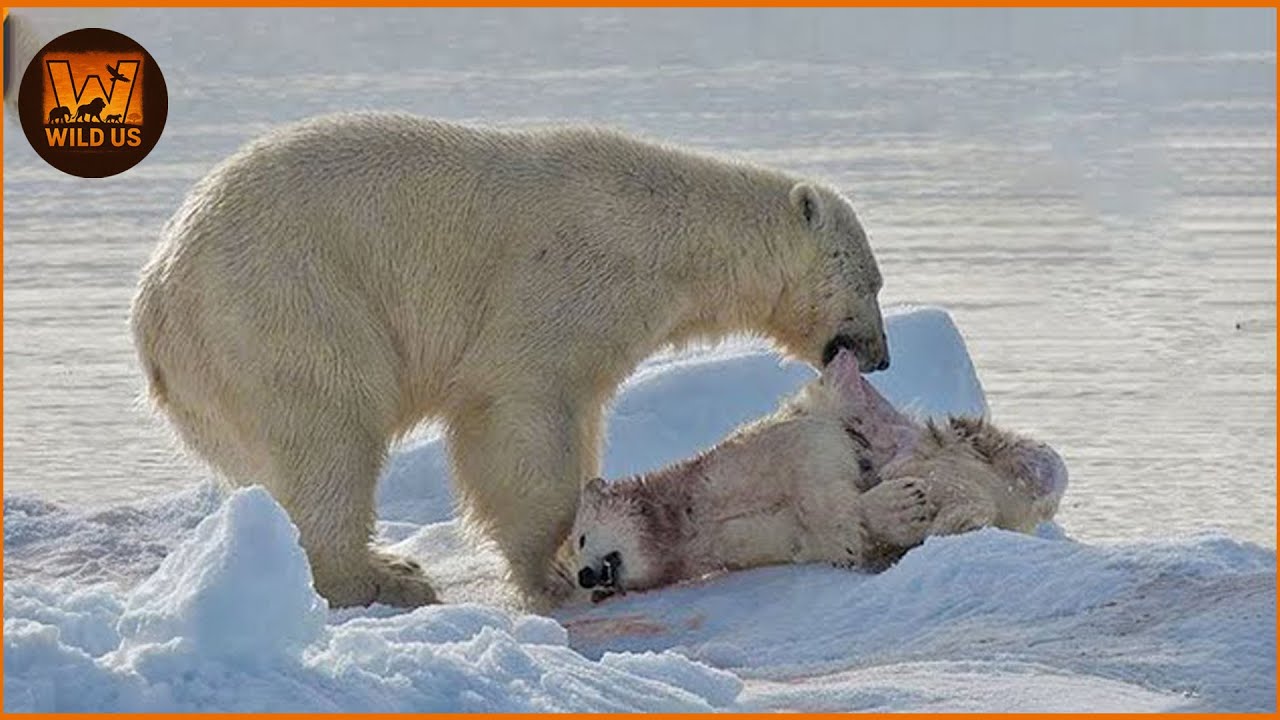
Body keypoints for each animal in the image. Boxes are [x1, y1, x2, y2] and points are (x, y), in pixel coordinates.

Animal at [129, 112, 890, 610]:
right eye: (873, 282)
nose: (880, 357)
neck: (668, 235)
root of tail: (156, 301)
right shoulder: (562, 282)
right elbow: (521, 414)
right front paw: (549, 572)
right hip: (286, 305)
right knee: (329, 434)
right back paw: (383, 576)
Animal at [567, 348, 1066, 600]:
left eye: (581, 538)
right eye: (575, 557)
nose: (587, 577)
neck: (684, 515)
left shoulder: (748, 457)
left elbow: (816, 464)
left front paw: (896, 499)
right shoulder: (740, 543)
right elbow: (829, 538)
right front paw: (901, 509)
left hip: (963, 442)